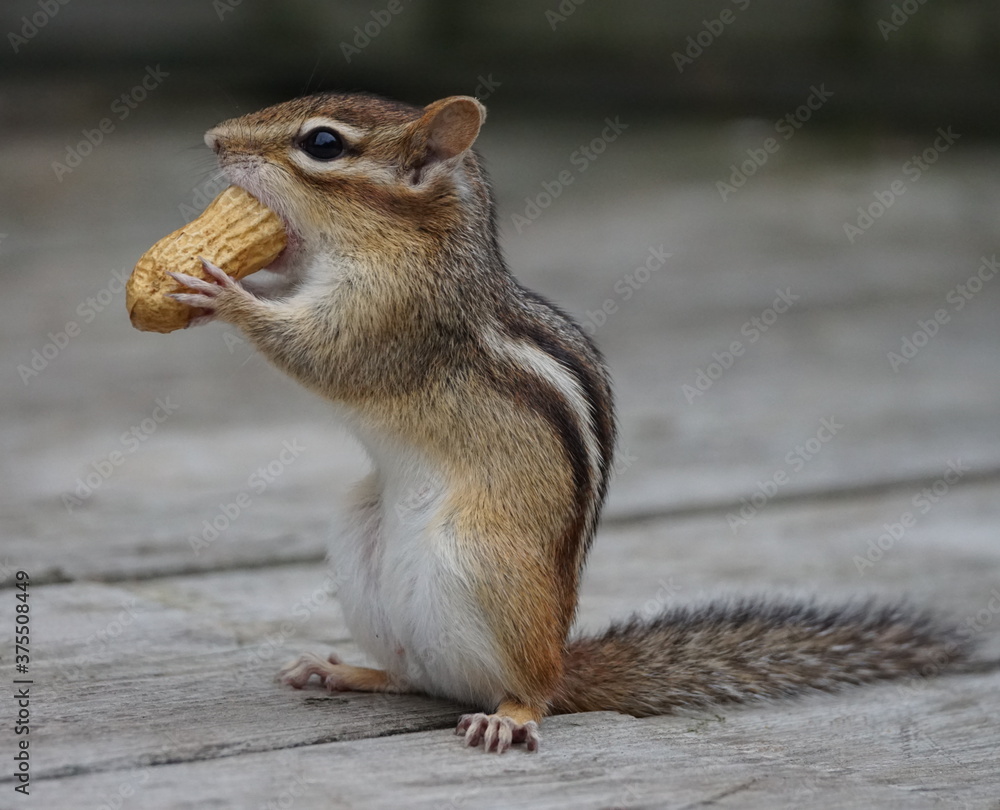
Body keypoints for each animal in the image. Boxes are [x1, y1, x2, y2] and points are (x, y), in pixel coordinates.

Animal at [168, 91, 968, 753]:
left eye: (323, 143)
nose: (212, 139)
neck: (412, 241)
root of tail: (561, 656)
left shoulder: (394, 317)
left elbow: (321, 353)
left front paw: (224, 292)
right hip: (359, 543)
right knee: (420, 676)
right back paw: (346, 672)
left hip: (479, 555)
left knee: (527, 691)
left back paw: (511, 715)